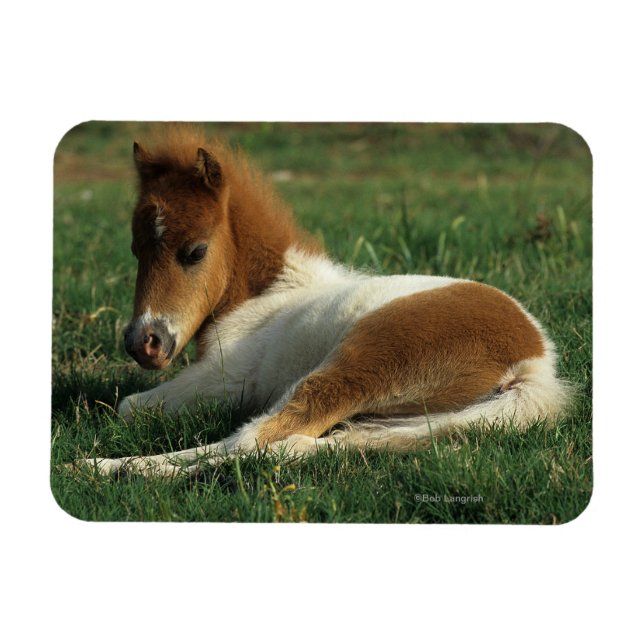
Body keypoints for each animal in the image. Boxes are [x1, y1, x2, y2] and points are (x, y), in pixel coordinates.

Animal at [86, 126, 572, 477]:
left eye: (195, 251)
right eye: (135, 249)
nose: (143, 342)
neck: (270, 293)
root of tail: (533, 362)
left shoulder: (225, 379)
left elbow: (130, 407)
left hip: (359, 367)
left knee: (256, 438)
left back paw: (107, 468)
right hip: (419, 419)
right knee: (304, 445)